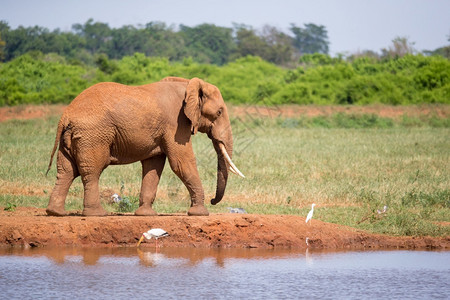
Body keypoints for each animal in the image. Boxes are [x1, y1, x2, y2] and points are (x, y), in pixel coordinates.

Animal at [45, 76, 244, 217]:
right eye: (219, 112)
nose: (212, 200)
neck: (188, 84)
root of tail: (66, 115)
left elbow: (153, 164)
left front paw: (146, 214)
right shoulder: (176, 123)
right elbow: (181, 162)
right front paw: (200, 213)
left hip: (72, 137)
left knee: (66, 171)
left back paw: (55, 213)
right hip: (93, 135)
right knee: (92, 171)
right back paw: (97, 214)